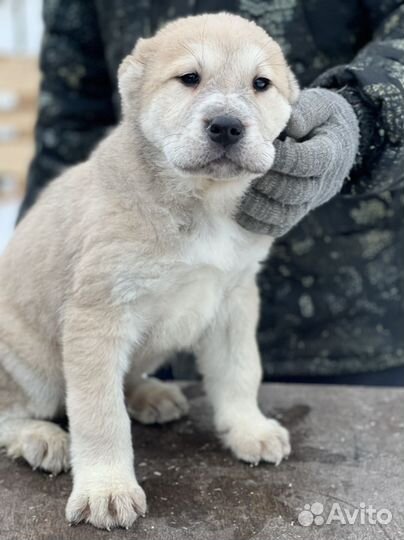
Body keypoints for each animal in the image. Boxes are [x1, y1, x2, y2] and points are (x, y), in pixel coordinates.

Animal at [0, 13, 296, 532]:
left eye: (261, 84)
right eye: (189, 78)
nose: (226, 126)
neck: (200, 203)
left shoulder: (234, 300)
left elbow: (241, 371)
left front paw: (249, 428)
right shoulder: (98, 315)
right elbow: (100, 414)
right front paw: (106, 490)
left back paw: (148, 395)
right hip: (29, 366)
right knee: (11, 412)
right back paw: (41, 438)